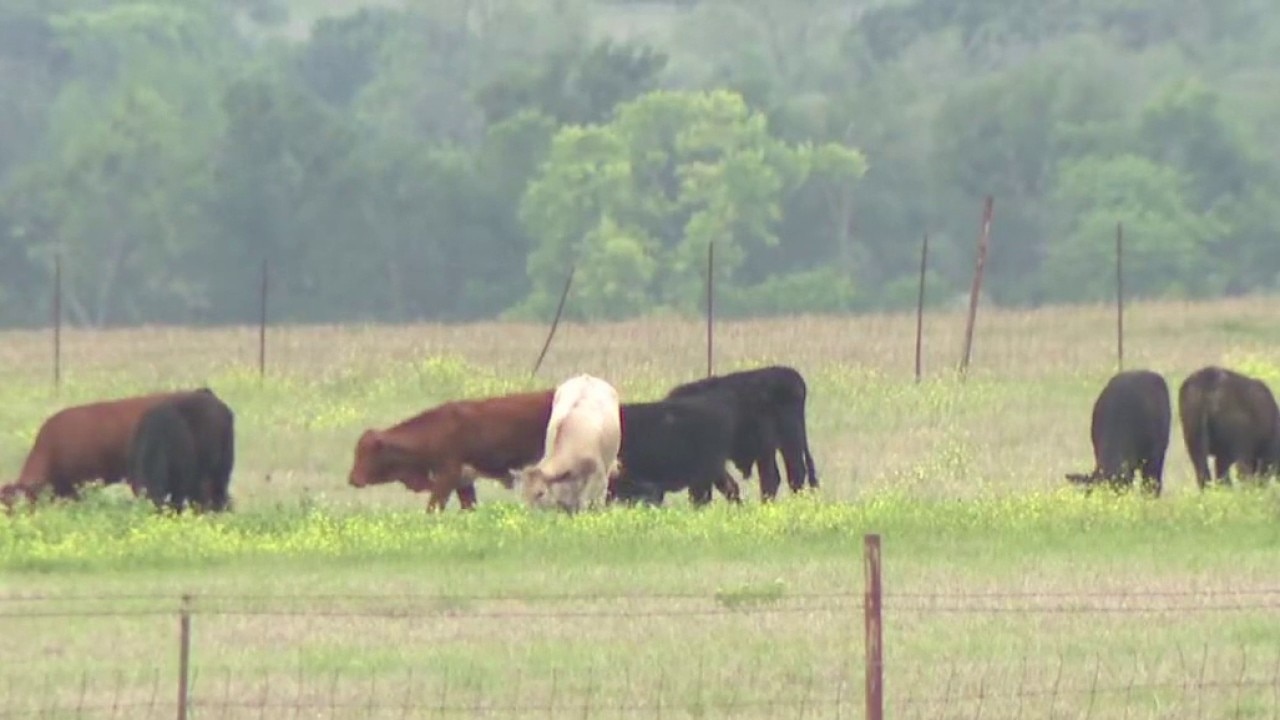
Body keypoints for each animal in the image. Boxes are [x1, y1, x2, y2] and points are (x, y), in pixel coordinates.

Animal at [509, 374, 622, 514]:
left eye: (541, 493)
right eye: (522, 494)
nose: (528, 514)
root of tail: (587, 376)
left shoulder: (598, 476)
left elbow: (586, 503)